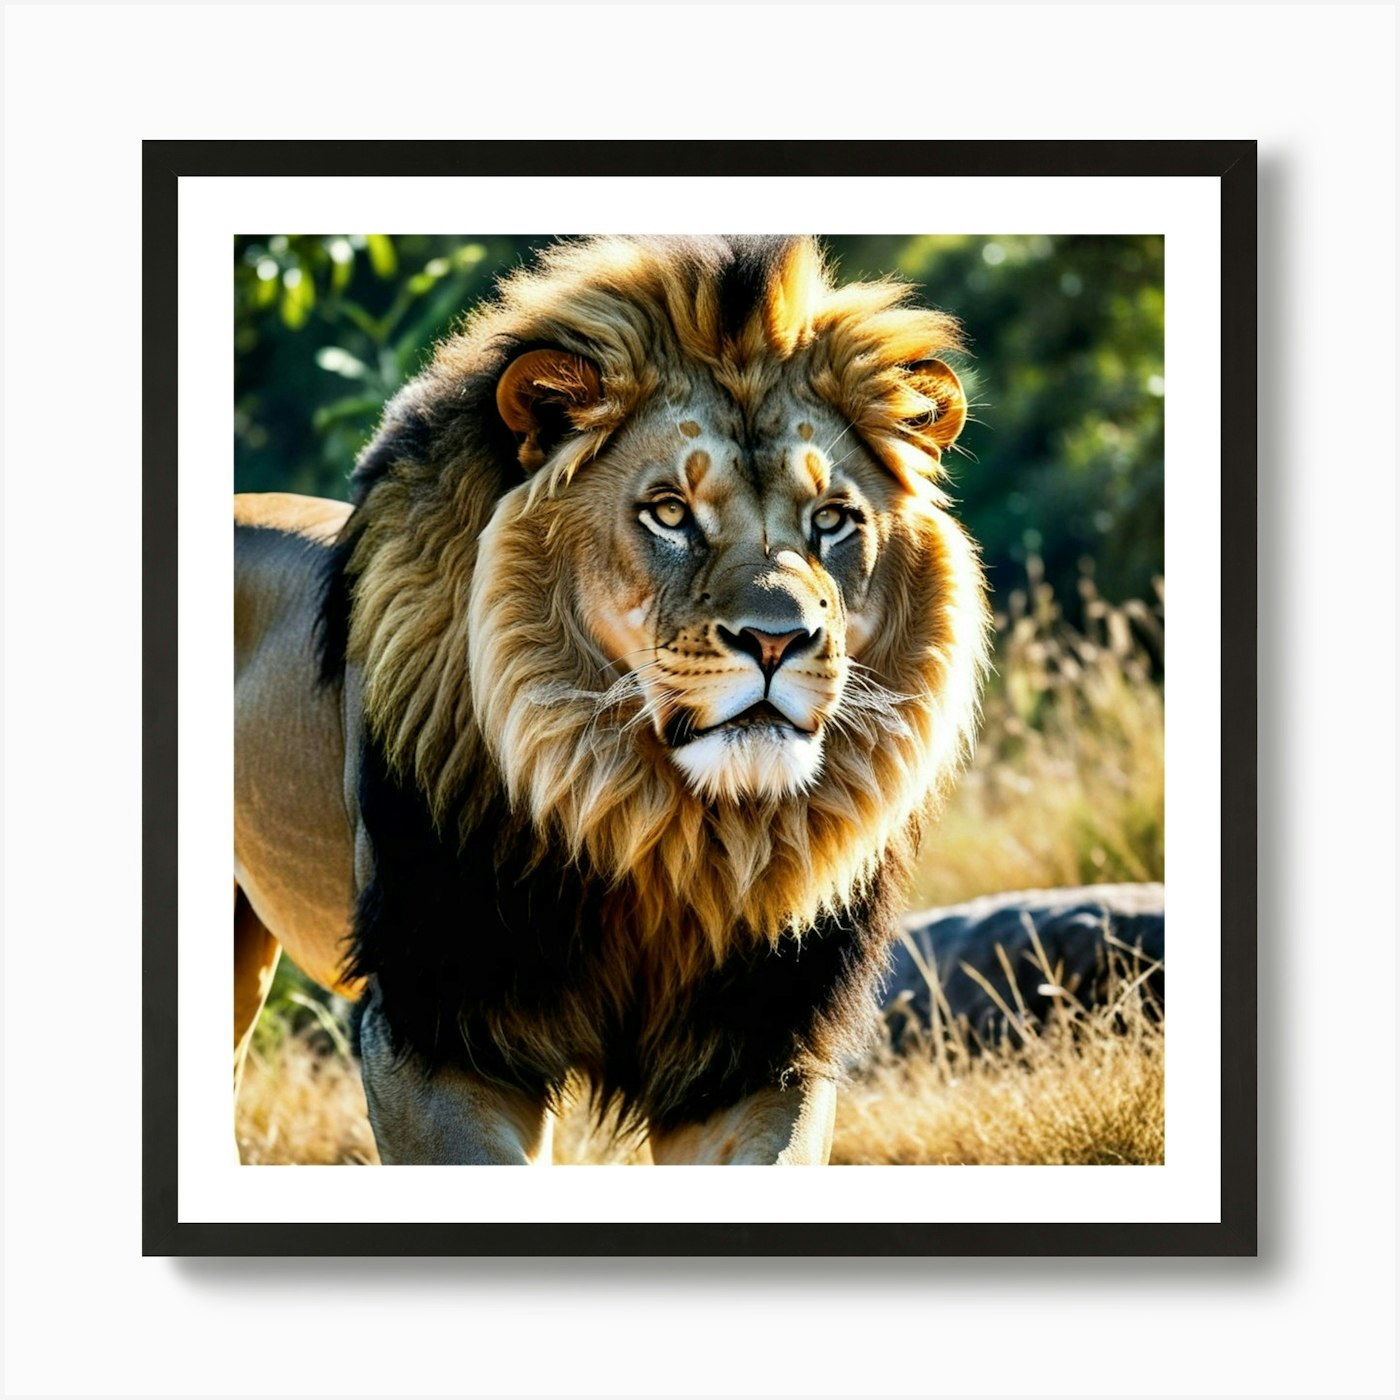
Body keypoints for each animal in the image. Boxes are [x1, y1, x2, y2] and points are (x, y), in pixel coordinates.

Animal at [234, 235, 990, 1165]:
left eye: (833, 520)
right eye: (669, 512)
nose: (777, 640)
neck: (662, 831)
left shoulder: (759, 1052)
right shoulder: (434, 1031)